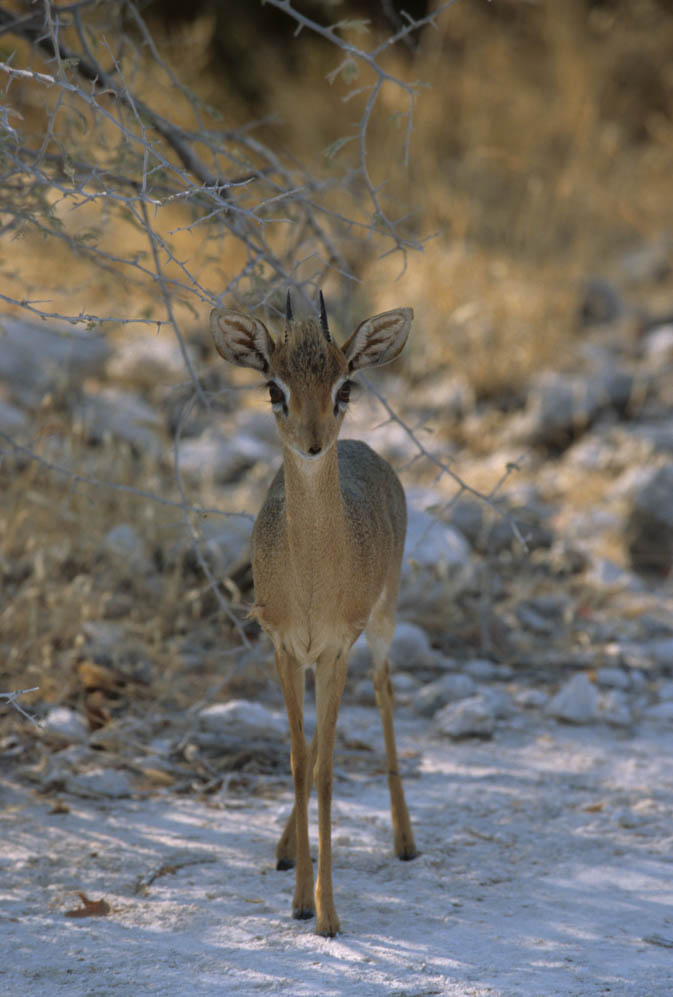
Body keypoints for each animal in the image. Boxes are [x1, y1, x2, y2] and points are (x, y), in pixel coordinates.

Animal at [210, 288, 418, 932]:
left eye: (344, 385)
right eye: (273, 387)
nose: (312, 441)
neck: (310, 579)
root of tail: (362, 447)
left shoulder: (334, 649)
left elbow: (325, 771)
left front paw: (327, 913)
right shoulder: (282, 647)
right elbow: (301, 763)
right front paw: (301, 897)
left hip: (382, 621)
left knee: (384, 692)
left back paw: (405, 840)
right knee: (318, 745)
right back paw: (284, 849)